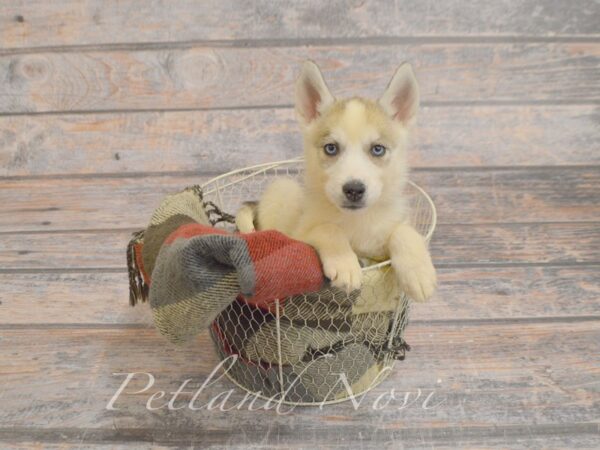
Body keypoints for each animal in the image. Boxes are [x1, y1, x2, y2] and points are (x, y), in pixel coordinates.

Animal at [236, 59, 436, 298]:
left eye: (377, 149)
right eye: (331, 148)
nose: (354, 190)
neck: (356, 222)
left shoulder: (380, 250)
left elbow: (404, 231)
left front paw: (418, 273)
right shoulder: (300, 235)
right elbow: (328, 229)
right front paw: (345, 264)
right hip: (284, 188)